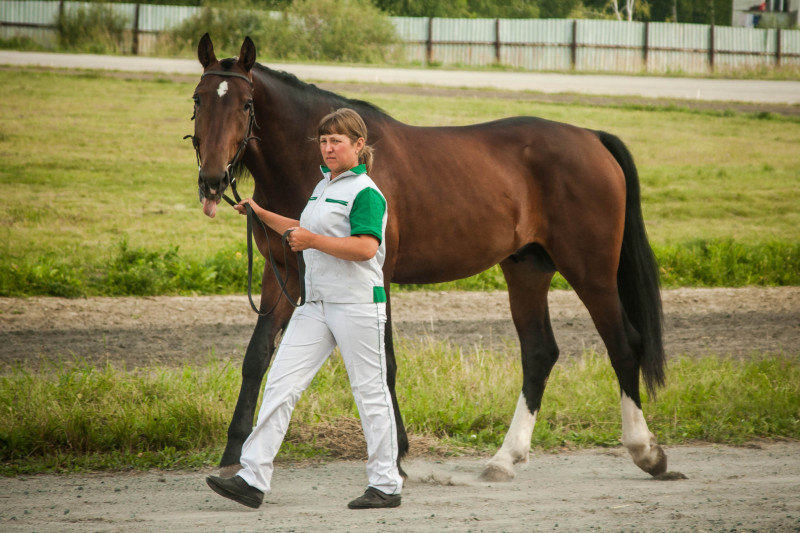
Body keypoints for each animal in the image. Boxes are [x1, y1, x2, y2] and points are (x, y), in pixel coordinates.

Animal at [189, 35, 668, 480]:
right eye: (198, 99)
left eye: (246, 104)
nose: (212, 180)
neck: (324, 167)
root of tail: (593, 138)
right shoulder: (284, 274)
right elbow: (256, 357)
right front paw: (232, 456)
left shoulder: (375, 275)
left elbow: (384, 364)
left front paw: (396, 455)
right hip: (527, 269)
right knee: (539, 353)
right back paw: (505, 458)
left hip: (591, 271)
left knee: (624, 344)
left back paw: (645, 450)